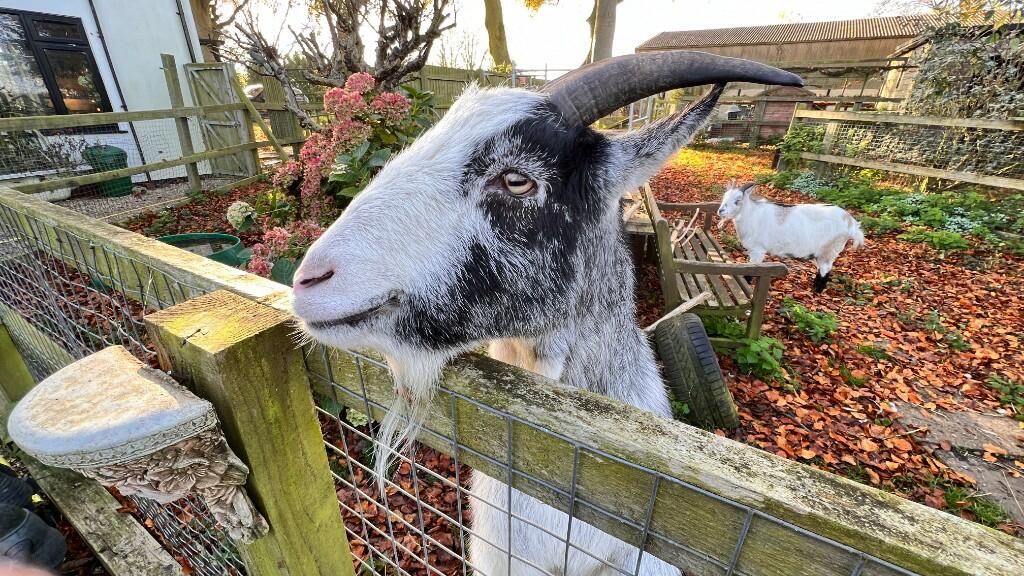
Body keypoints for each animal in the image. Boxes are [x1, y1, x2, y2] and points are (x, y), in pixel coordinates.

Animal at [717, 181, 864, 292]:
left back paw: (817, 290)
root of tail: (851, 223)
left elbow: (753, 269)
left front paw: (746, 283)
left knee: (825, 270)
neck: (752, 215)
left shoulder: (757, 250)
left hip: (828, 251)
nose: (720, 211)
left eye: (738, 200)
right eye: (724, 197)